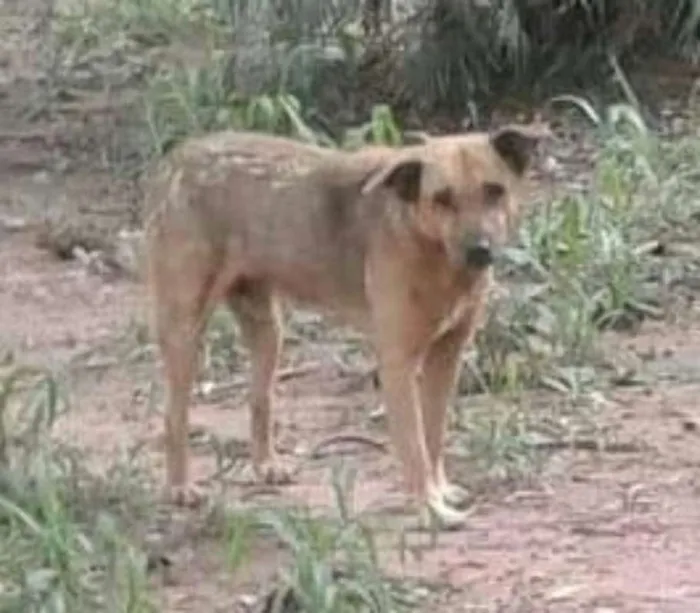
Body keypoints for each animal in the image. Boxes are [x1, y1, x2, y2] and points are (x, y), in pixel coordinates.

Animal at [142, 123, 548, 524]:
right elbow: (414, 445)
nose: (480, 250)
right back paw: (179, 488)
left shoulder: (447, 355)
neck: (425, 243)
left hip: (268, 331)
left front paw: (440, 490)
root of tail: (180, 155)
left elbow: (434, 435)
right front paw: (430, 508)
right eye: (442, 198)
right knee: (173, 414)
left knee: (260, 399)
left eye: (494, 191)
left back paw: (266, 465)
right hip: (185, 331)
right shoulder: (397, 362)